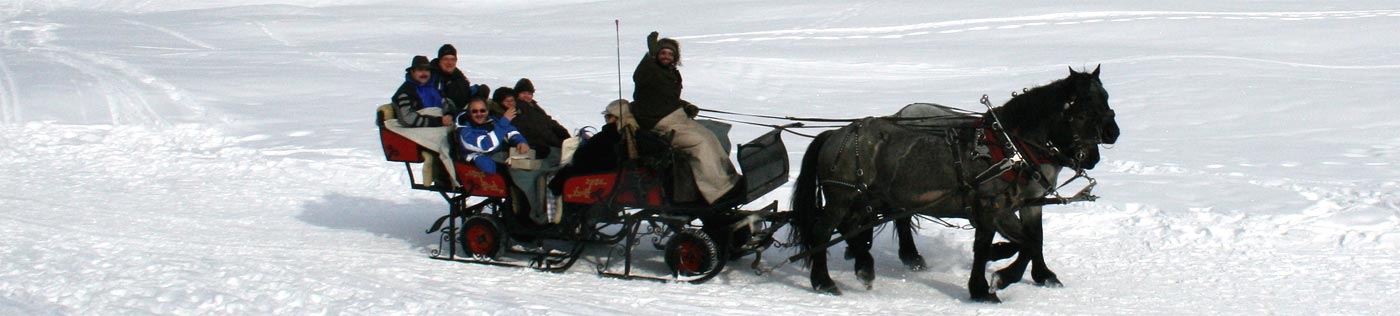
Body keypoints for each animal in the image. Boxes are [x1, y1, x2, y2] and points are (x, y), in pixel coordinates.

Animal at [795, 66, 1120, 300]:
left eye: (1106, 97)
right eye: (1084, 106)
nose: (1113, 132)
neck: (1010, 147)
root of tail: (836, 134)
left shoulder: (1027, 203)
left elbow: (1033, 240)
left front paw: (1039, 275)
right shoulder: (992, 209)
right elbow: (1010, 245)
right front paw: (990, 284)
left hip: (870, 197)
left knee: (859, 226)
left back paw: (867, 266)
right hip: (843, 196)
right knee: (823, 231)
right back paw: (825, 282)